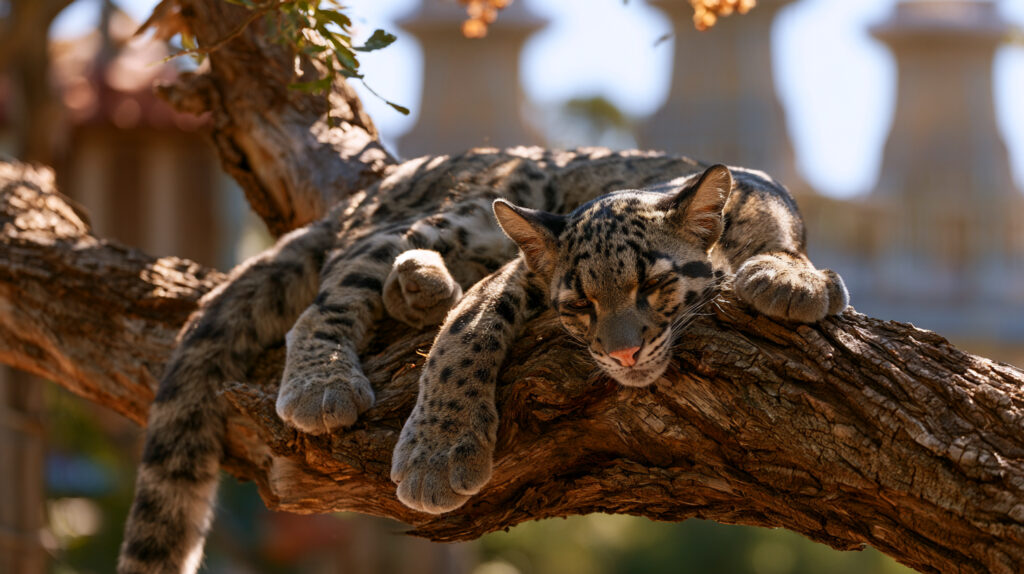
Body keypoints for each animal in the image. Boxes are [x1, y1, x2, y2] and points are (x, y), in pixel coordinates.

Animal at [116, 147, 847, 574]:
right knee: (335, 286)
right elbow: (466, 335)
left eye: (653, 286)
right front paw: (436, 454)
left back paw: (419, 286)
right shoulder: (522, 276)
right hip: (453, 212)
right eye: (580, 304)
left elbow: (781, 249)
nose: (622, 350)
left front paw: (791, 278)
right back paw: (337, 366)